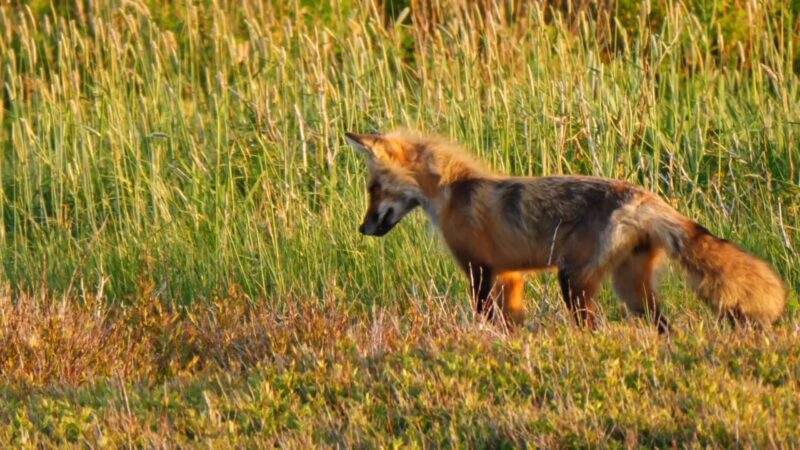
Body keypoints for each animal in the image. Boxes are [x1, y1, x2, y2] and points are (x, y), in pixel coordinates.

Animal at [344, 129, 788, 330]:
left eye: (373, 189)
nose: (363, 229)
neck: (453, 193)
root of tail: (645, 197)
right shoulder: (509, 275)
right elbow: (511, 321)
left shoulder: (479, 269)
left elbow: (484, 316)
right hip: (631, 290)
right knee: (664, 325)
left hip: (573, 282)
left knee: (594, 327)